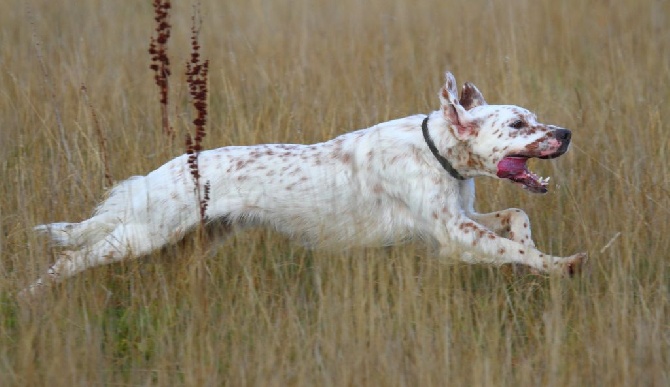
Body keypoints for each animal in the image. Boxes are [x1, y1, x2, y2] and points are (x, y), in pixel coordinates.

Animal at [22, 72, 588, 298]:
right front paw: (559, 264)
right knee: (70, 259)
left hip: (191, 242)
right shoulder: (453, 234)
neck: (437, 152)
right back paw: (28, 297)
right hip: (143, 235)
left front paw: (532, 245)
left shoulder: (459, 219)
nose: (565, 133)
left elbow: (517, 217)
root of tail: (160, 172)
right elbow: (517, 251)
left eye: (534, 117)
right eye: (516, 124)